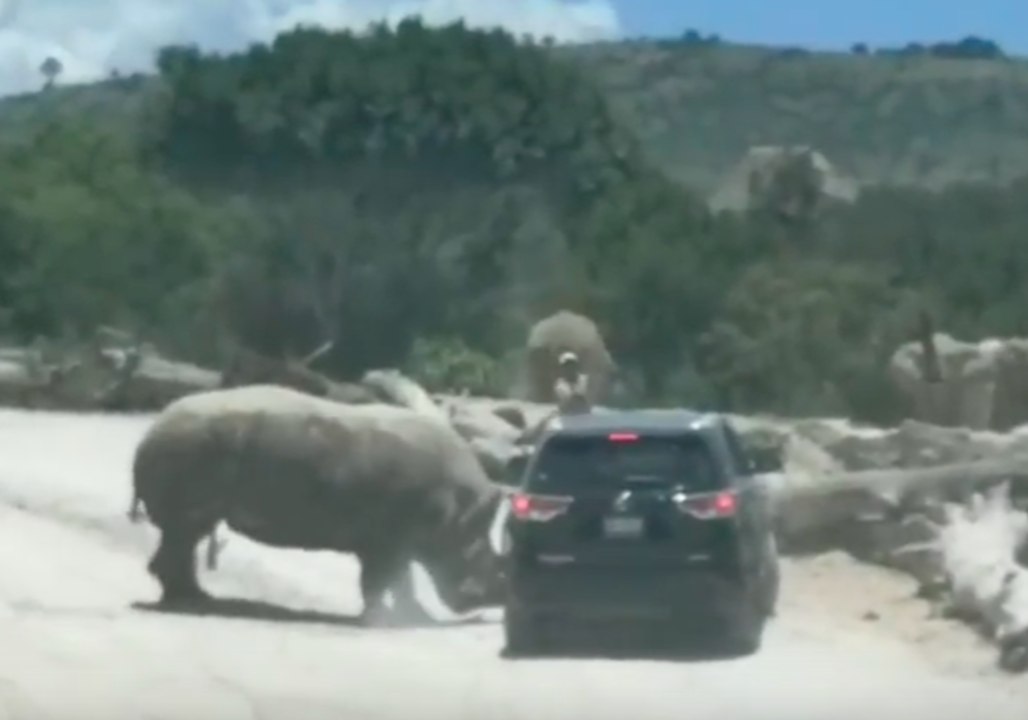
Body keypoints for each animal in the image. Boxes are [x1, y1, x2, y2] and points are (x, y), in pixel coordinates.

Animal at [131, 384, 507, 625]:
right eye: (475, 553)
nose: (483, 604)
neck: (459, 511)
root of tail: (151, 430)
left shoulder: (390, 539)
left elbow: (393, 580)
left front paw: (406, 616)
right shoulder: (389, 538)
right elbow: (386, 579)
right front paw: (388, 618)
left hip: (190, 449)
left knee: (186, 534)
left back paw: (196, 597)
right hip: (190, 448)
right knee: (185, 532)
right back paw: (190, 602)